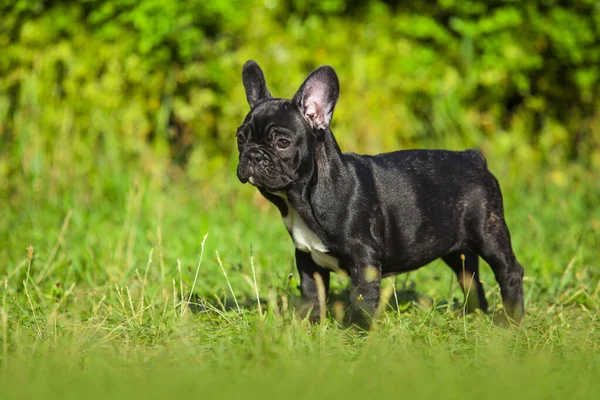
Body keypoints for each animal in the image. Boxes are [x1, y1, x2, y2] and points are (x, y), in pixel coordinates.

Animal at [237, 60, 524, 328]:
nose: (252, 154)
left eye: (282, 142)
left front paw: (357, 333)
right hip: (453, 245)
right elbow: (312, 296)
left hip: (489, 231)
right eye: (240, 138)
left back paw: (511, 320)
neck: (305, 198)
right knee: (469, 273)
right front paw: (309, 327)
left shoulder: (364, 260)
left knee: (509, 270)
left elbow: (361, 300)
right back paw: (472, 314)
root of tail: (473, 157)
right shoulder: (308, 260)